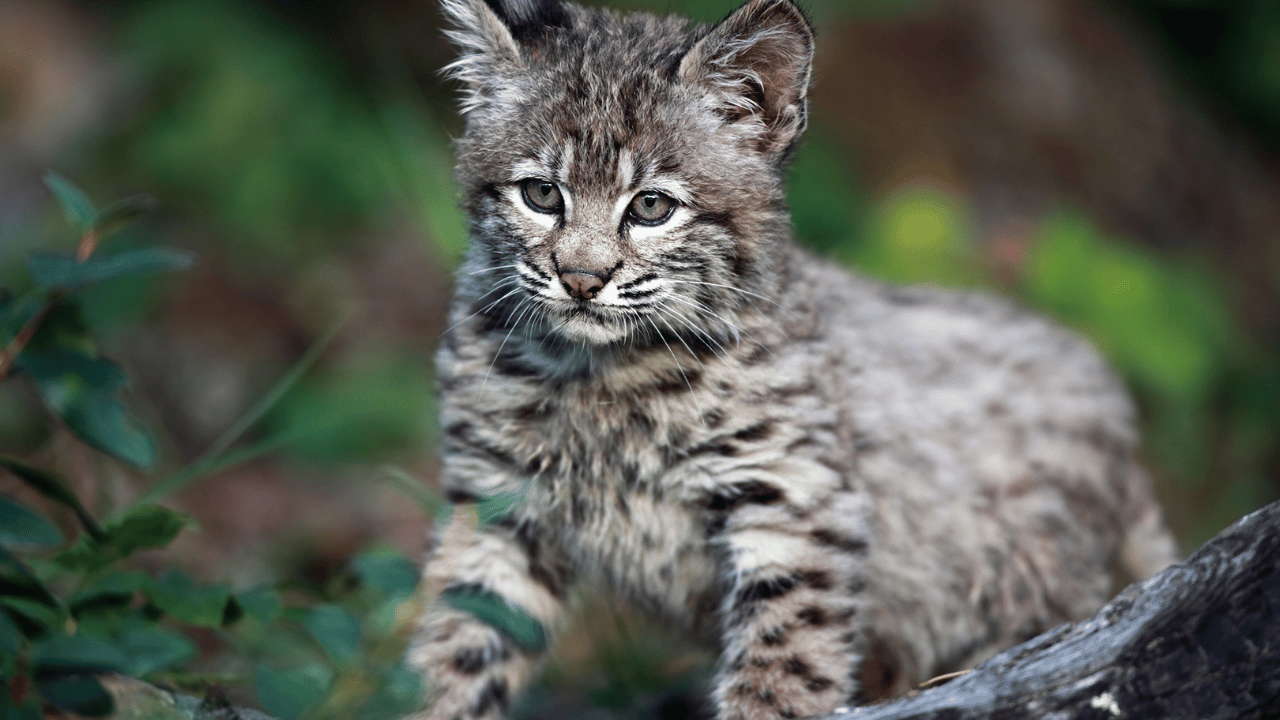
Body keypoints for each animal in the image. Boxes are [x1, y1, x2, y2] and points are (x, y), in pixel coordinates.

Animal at [412, 1, 1177, 717]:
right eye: (542, 194)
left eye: (652, 208)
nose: (580, 279)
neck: (600, 371)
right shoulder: (496, 503)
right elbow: (455, 649)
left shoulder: (791, 495)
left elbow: (783, 662)